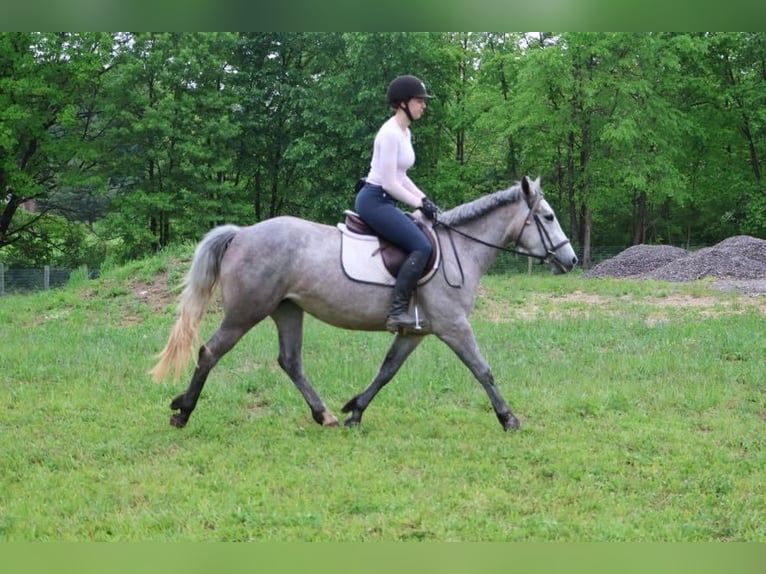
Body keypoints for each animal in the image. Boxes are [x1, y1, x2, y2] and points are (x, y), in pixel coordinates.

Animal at [150, 175, 578, 431]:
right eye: (548, 217)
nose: (571, 260)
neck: (462, 248)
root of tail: (241, 234)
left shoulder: (415, 332)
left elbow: (387, 370)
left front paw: (355, 410)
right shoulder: (454, 326)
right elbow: (483, 370)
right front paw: (508, 418)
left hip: (287, 310)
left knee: (290, 362)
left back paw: (322, 414)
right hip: (245, 313)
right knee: (209, 352)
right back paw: (183, 411)